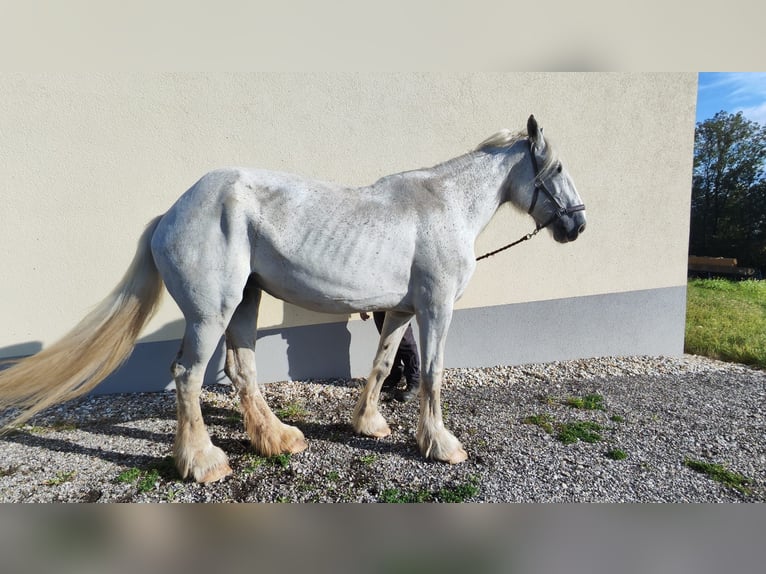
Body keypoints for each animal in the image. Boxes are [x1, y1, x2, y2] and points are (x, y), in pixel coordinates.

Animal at [0, 115, 586, 483]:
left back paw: (277, 439)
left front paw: (369, 424)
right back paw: (204, 463)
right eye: (556, 170)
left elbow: (382, 365)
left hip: (245, 303)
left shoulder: (400, 310)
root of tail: (170, 214)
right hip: (212, 314)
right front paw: (441, 446)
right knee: (189, 375)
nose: (578, 226)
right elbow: (433, 372)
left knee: (241, 369)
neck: (444, 206)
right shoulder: (436, 308)